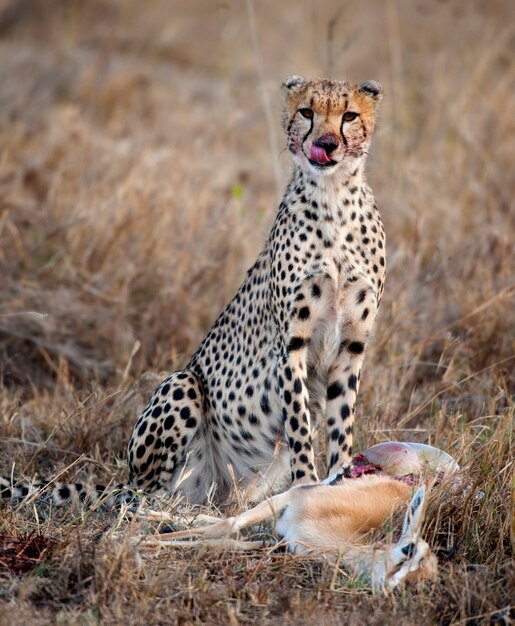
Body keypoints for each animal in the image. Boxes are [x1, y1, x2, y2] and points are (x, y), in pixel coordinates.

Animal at [128, 75, 388, 502]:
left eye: (349, 116)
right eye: (307, 112)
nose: (326, 143)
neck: (333, 196)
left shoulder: (352, 345)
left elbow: (341, 422)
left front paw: (339, 482)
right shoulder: (292, 342)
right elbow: (298, 420)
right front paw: (306, 483)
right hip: (182, 384)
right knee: (142, 493)